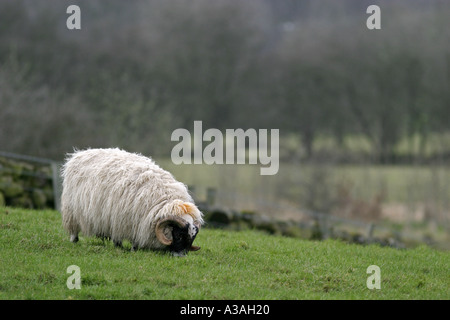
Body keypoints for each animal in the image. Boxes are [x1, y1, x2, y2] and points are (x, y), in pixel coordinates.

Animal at [60, 149, 204, 256]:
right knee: (73, 228)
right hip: (71, 208)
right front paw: (133, 249)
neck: (164, 202)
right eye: (179, 235)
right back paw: (74, 240)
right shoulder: (132, 221)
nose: (181, 256)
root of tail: (80, 154)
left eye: (192, 238)